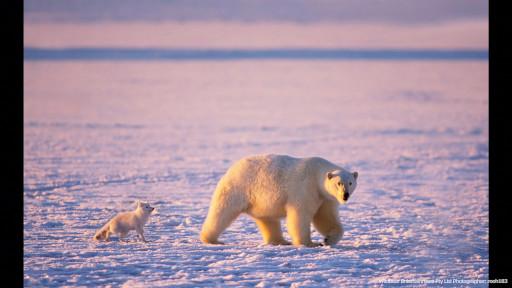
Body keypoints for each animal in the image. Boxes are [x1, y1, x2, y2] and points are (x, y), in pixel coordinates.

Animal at [198, 154, 358, 246]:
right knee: (222, 211)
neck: (317, 173)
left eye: (350, 183)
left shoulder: (325, 198)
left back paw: (280, 241)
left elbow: (326, 217)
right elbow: (300, 215)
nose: (345, 195)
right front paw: (309, 243)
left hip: (261, 201)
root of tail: (232, 168)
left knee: (268, 220)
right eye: (339, 183)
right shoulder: (305, 188)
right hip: (238, 188)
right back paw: (211, 239)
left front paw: (328, 240)